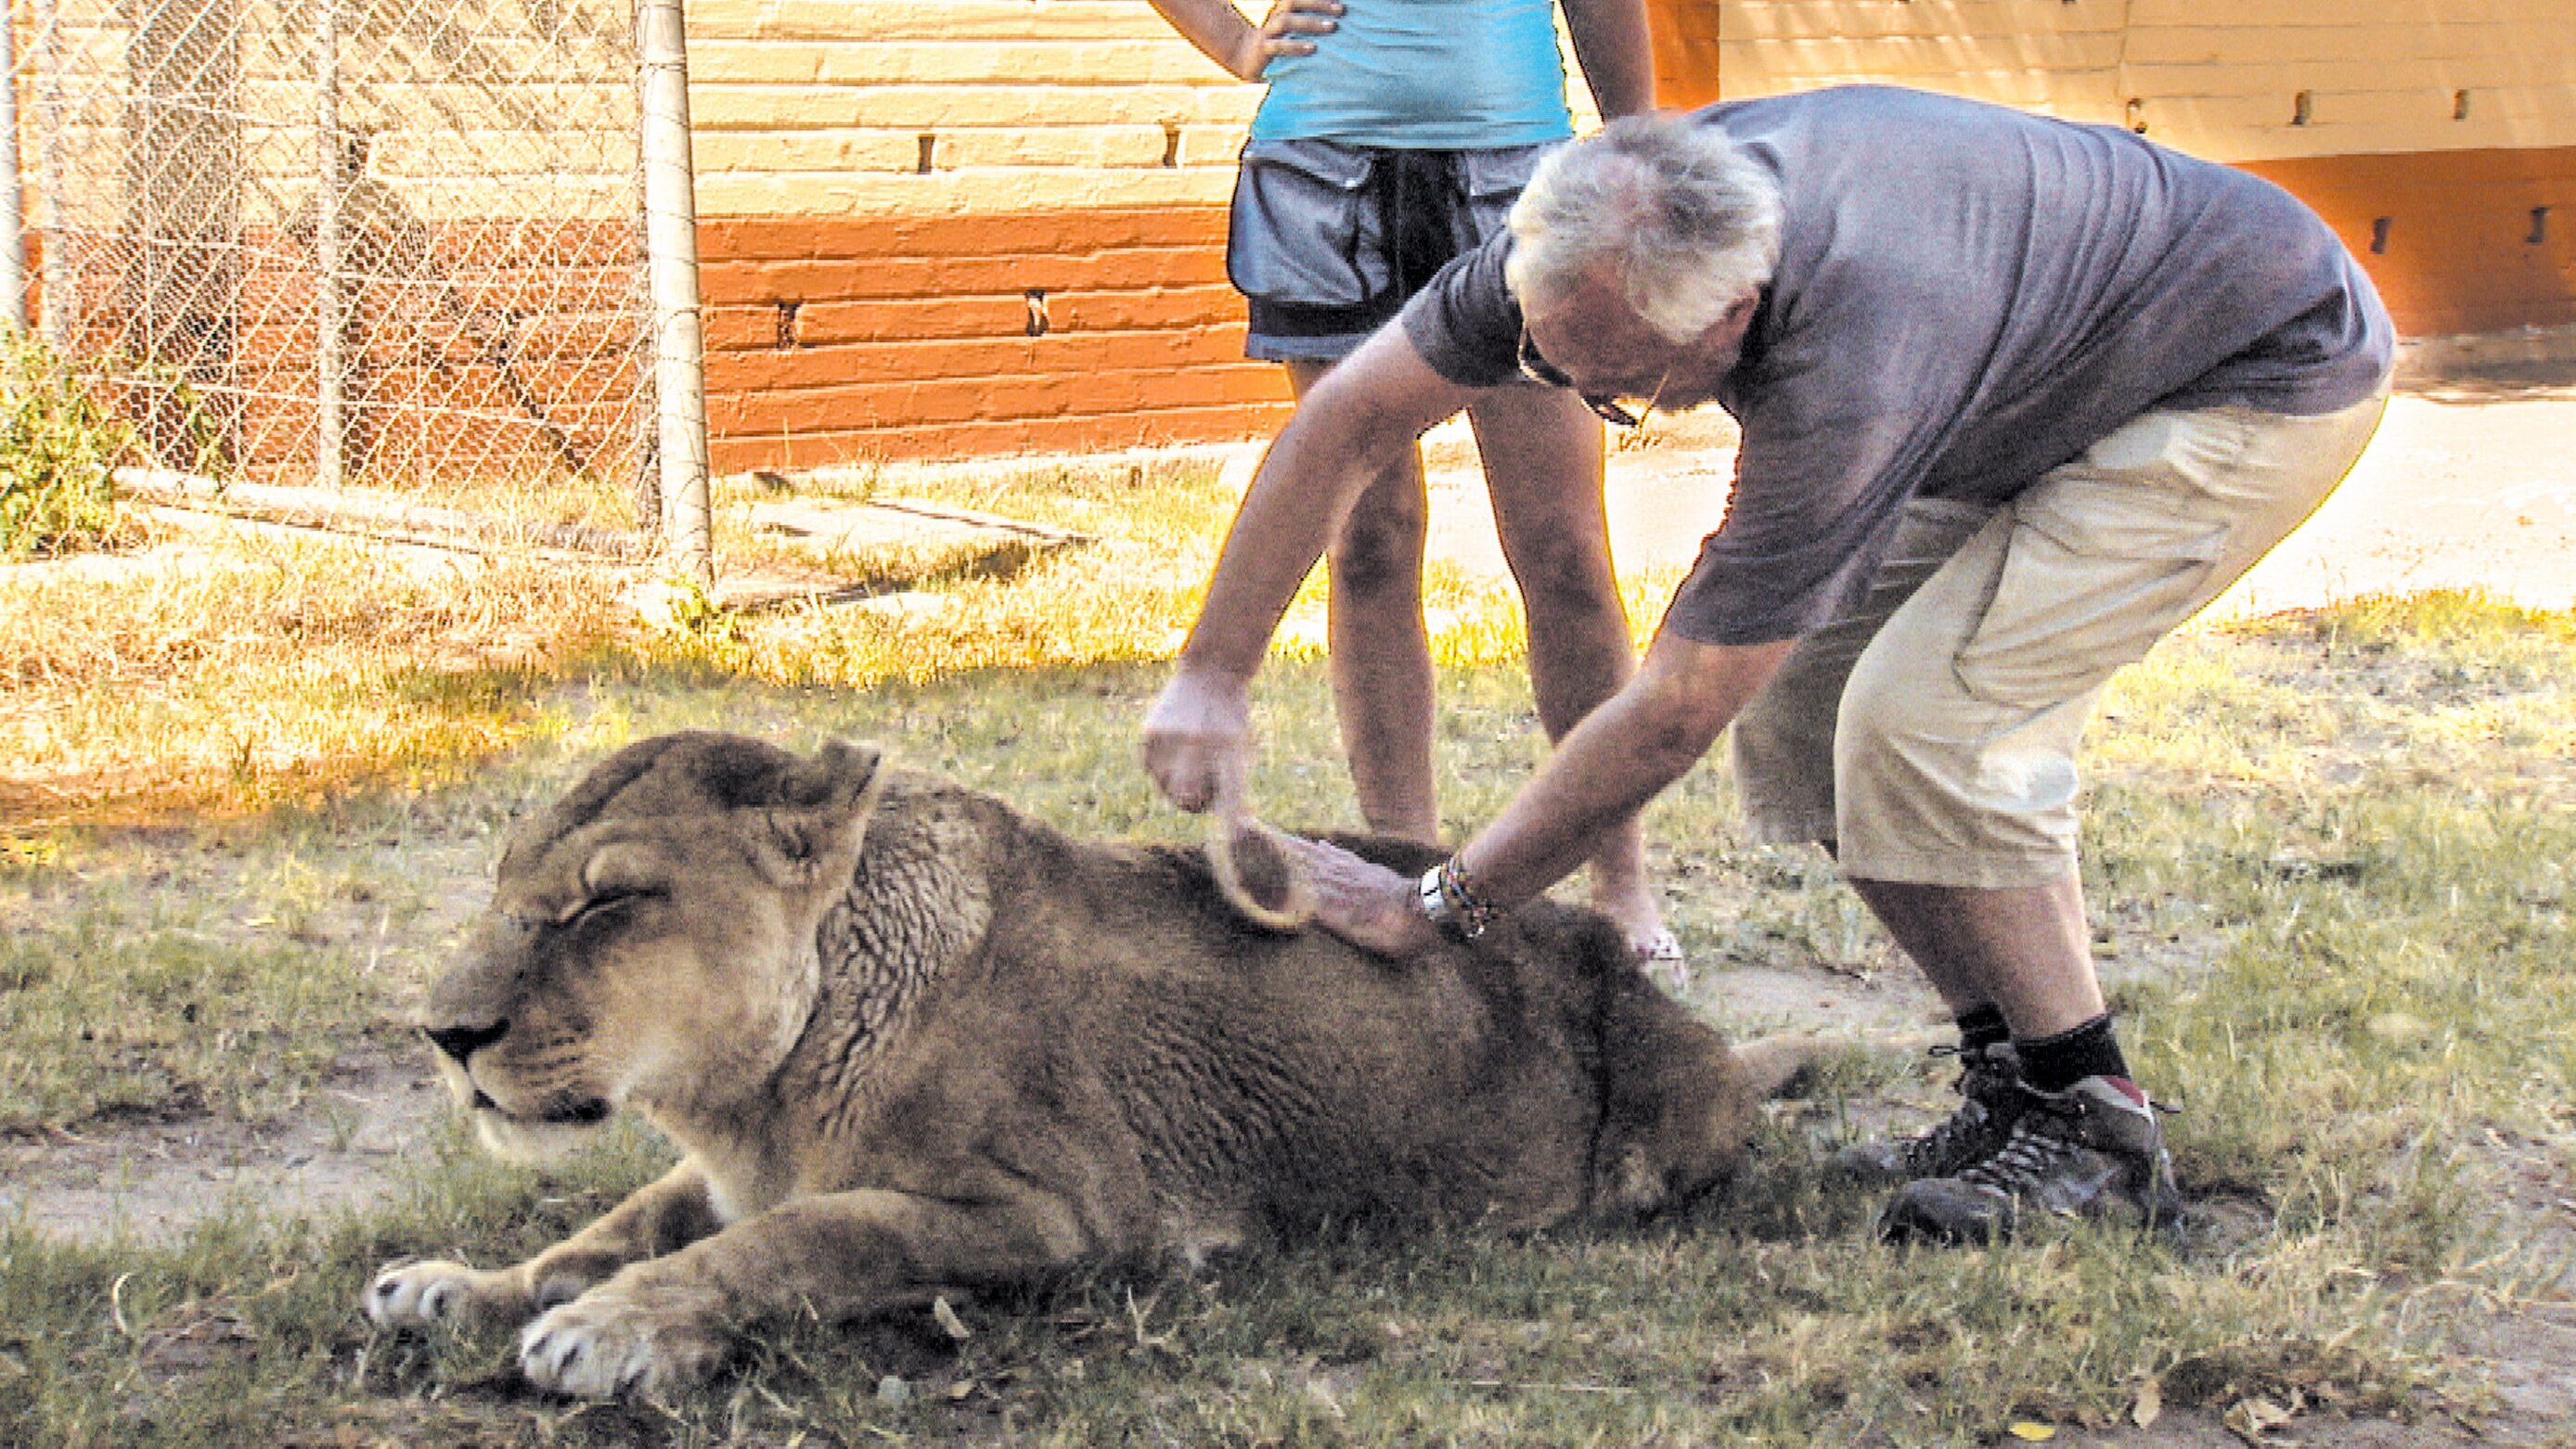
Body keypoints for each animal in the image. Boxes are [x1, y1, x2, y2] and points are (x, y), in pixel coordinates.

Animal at [367, 730, 1813, 1400]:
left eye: (606, 903)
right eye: (502, 884)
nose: (443, 1036)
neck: (756, 1098)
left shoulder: (1062, 1215)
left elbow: (801, 1238)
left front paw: (611, 1327)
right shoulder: (721, 1169)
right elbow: (611, 1224)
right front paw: (461, 1285)